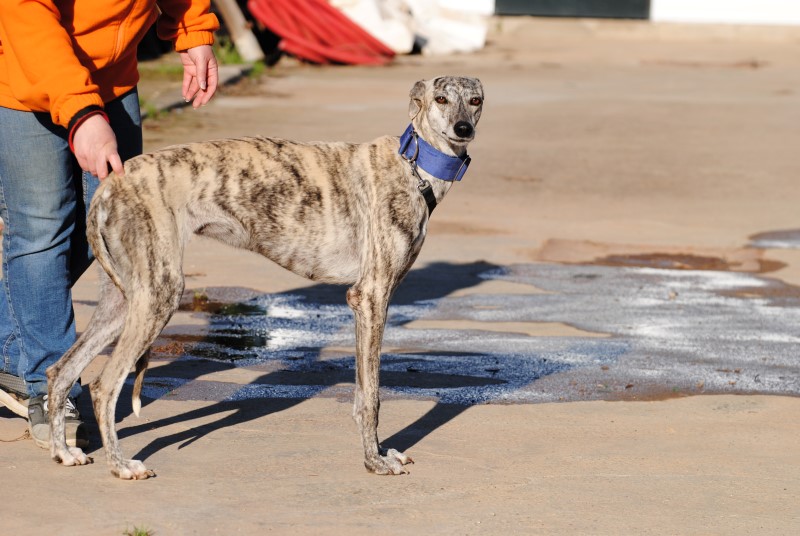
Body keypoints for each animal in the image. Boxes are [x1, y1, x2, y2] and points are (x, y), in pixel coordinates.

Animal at [46, 76, 484, 479]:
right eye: (440, 98)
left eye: (475, 100)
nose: (463, 129)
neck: (413, 167)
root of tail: (109, 184)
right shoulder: (370, 296)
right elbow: (371, 396)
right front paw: (374, 462)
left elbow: (364, 391)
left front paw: (379, 453)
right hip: (159, 292)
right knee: (104, 385)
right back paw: (122, 466)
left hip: (124, 296)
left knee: (62, 369)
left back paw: (65, 452)